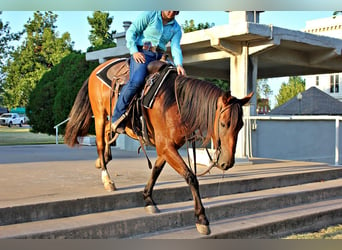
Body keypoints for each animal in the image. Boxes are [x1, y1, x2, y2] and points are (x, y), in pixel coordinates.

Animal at [64, 57, 252, 235]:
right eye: (223, 123)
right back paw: (107, 178)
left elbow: (156, 170)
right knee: (100, 143)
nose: (227, 163)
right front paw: (202, 219)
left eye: (241, 125)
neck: (175, 103)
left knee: (109, 132)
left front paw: (148, 199)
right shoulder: (166, 146)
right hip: (100, 116)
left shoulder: (167, 147)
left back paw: (101, 160)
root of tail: (96, 70)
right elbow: (190, 176)